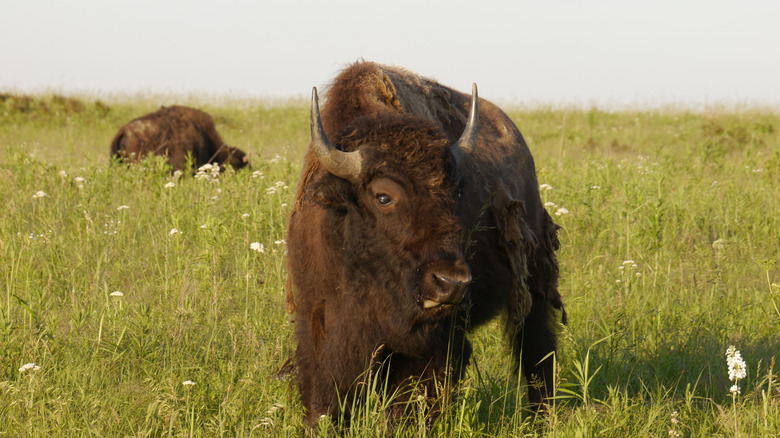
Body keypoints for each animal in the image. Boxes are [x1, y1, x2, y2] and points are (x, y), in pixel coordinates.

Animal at [286, 62, 566, 428]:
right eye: (383, 196)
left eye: (456, 193)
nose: (451, 283)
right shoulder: (317, 322)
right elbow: (324, 396)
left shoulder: (429, 344)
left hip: (532, 287)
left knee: (537, 352)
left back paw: (540, 420)